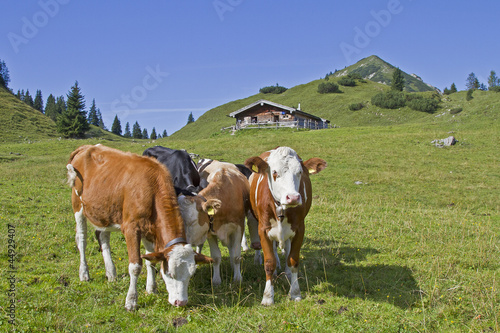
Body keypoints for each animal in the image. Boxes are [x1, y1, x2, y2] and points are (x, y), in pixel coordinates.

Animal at [66, 144, 211, 310]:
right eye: (169, 273)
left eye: (191, 274)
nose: (180, 302)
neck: (151, 187)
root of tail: (86, 147)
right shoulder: (131, 228)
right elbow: (135, 266)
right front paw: (131, 301)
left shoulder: (150, 228)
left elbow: (150, 260)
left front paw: (151, 289)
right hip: (78, 205)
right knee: (82, 239)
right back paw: (84, 273)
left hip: (105, 211)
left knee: (103, 237)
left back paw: (111, 272)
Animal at [244, 147, 326, 304]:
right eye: (275, 172)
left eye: (299, 172)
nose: (293, 197)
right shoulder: (263, 230)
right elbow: (269, 262)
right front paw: (268, 296)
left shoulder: (300, 229)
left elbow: (293, 260)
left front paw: (295, 292)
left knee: (287, 248)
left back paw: (286, 272)